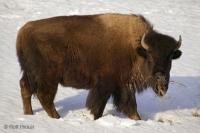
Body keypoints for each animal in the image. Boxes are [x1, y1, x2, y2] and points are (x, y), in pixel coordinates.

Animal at [16, 13, 182, 119]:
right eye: (150, 58)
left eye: (170, 59)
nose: (162, 84)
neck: (136, 50)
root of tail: (24, 32)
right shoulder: (105, 86)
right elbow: (98, 107)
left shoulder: (123, 86)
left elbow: (130, 107)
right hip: (49, 78)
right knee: (44, 96)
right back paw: (56, 117)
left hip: (30, 74)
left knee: (26, 88)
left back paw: (29, 114)